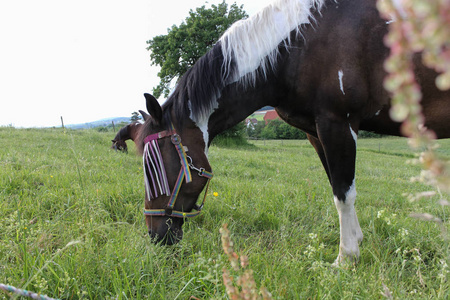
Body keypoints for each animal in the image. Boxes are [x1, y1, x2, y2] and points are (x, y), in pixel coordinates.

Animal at [139, 0, 448, 264]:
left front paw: (346, 258)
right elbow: (337, 188)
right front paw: (356, 241)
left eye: (155, 168)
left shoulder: (338, 124)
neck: (298, 45)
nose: (155, 236)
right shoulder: (316, 133)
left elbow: (344, 193)